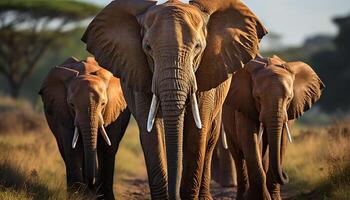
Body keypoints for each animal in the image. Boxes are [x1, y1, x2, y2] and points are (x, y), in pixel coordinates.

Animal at [38, 56, 131, 198]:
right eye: (71, 104)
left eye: (103, 103)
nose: (92, 184)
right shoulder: (63, 111)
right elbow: (71, 147)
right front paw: (76, 195)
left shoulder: (113, 111)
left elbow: (107, 147)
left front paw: (104, 197)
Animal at [223, 55, 324, 200]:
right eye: (257, 98)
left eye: (289, 98)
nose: (286, 174)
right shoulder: (244, 103)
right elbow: (250, 139)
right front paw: (260, 198)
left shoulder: (289, 112)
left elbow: (281, 141)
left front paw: (274, 197)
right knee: (238, 156)